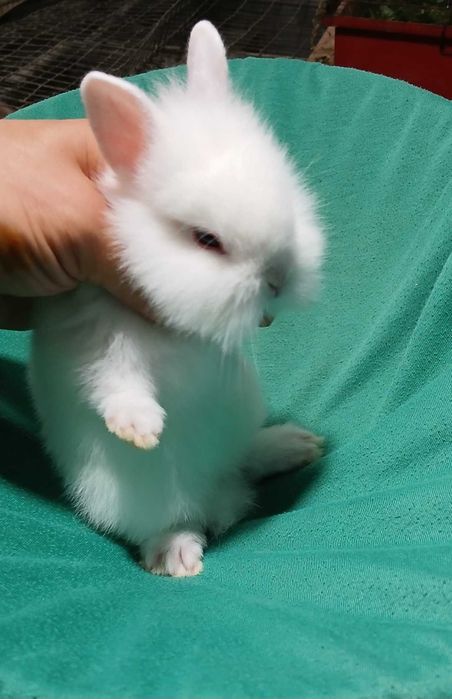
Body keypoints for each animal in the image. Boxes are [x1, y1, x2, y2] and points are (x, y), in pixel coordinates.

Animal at [29, 20, 325, 577]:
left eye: (288, 193)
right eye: (205, 239)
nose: (277, 278)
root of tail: (222, 496)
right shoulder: (97, 335)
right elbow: (113, 382)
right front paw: (140, 427)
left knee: (247, 457)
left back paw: (294, 445)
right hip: (138, 497)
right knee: (168, 521)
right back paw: (178, 554)